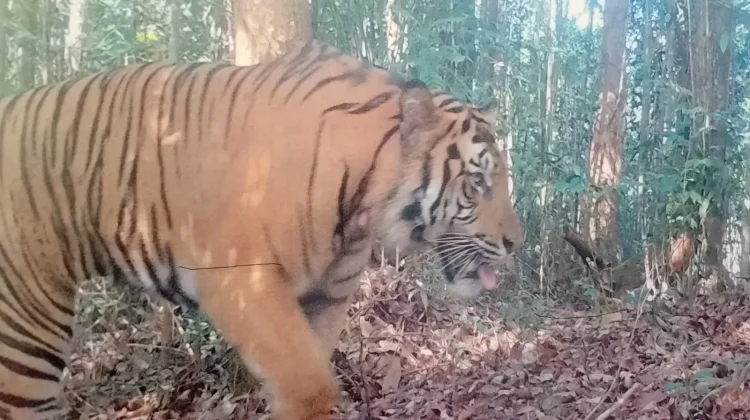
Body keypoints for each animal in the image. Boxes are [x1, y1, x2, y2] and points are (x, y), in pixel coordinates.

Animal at [0, 40, 523, 420]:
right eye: (478, 181)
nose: (516, 243)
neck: (362, 210)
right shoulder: (243, 281)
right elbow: (308, 384)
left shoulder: (325, 298)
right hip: (27, 329)